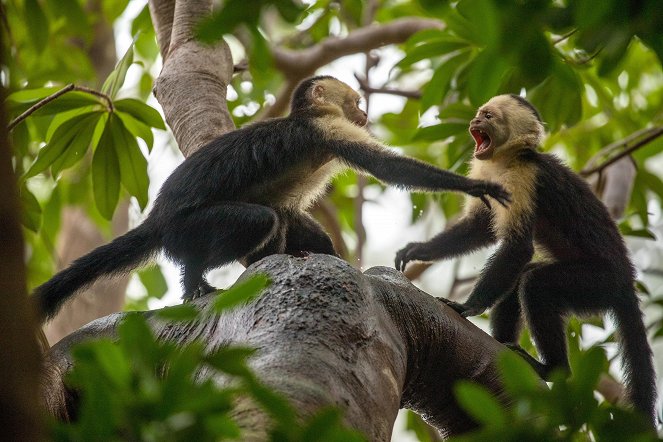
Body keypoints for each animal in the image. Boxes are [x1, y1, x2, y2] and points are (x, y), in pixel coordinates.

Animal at [33, 75, 510, 324]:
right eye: (356, 101)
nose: (364, 112)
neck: (310, 116)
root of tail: (158, 217)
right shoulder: (327, 128)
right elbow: (389, 168)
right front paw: (478, 188)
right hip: (187, 226)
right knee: (257, 220)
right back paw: (194, 277)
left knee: (290, 225)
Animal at [394, 94, 660, 424]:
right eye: (480, 114)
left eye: (489, 117)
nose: (474, 121)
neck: (506, 159)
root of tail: (627, 283)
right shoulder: (487, 176)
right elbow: (479, 228)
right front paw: (421, 250)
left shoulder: (524, 177)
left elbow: (518, 247)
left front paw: (468, 306)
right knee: (521, 278)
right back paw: (502, 346)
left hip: (600, 284)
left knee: (536, 284)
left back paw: (552, 368)